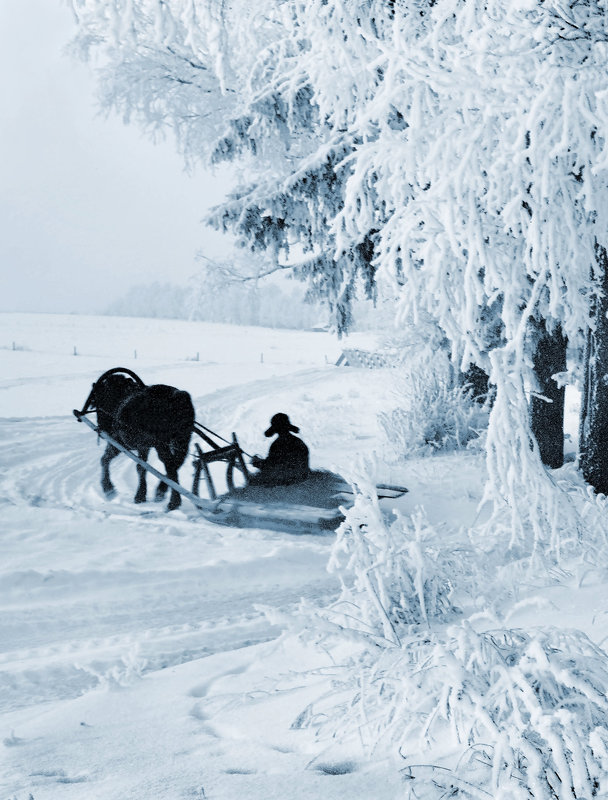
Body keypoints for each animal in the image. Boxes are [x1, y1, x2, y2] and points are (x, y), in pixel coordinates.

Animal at [81, 368, 195, 510]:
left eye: (96, 400)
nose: (102, 427)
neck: (119, 399)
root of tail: (179, 398)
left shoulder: (118, 442)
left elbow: (107, 459)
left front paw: (110, 489)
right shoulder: (144, 446)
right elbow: (141, 467)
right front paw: (141, 494)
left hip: (162, 444)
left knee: (170, 465)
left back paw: (173, 501)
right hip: (182, 439)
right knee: (177, 462)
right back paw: (162, 491)